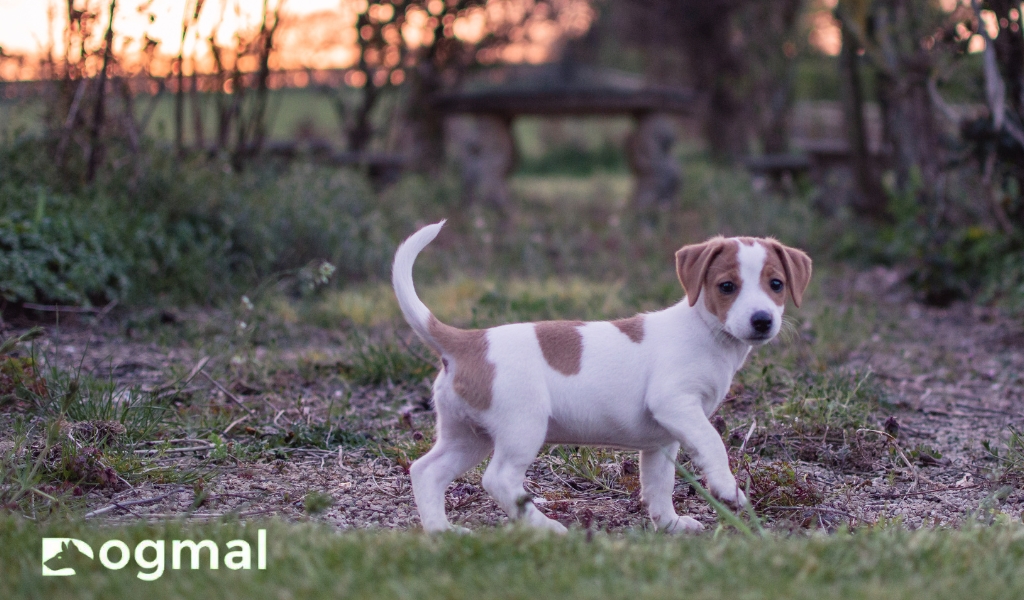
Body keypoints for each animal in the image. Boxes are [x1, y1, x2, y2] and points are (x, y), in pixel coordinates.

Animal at [391, 221, 806, 532]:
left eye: (776, 284)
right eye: (726, 287)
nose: (762, 320)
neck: (706, 332)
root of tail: (467, 341)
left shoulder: (662, 439)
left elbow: (659, 485)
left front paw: (670, 525)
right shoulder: (676, 404)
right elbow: (713, 441)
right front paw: (727, 488)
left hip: (467, 437)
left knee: (426, 472)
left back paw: (442, 532)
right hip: (521, 427)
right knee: (499, 479)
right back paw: (546, 527)